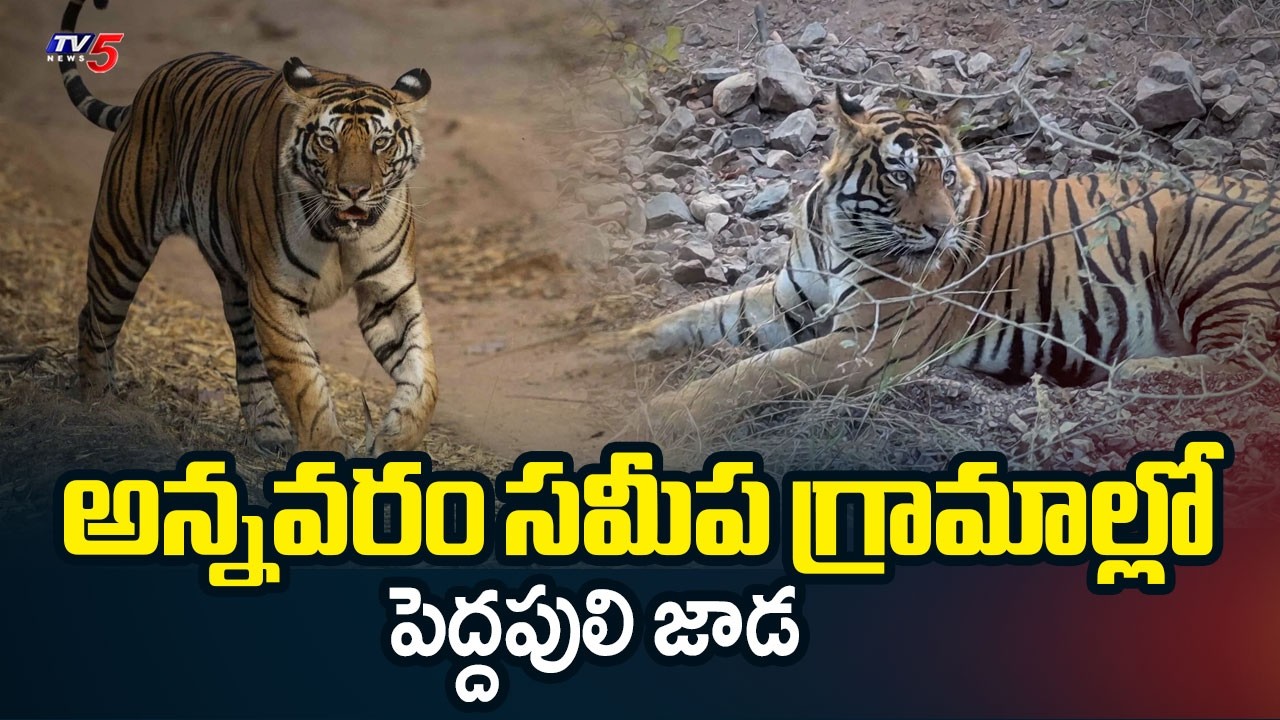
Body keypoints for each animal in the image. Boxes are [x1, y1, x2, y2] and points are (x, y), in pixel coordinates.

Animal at [59, 0, 438, 455]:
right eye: (328, 142)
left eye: (380, 142)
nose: (354, 191)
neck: (339, 238)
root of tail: (152, 82)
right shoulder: (277, 296)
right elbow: (305, 386)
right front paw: (327, 449)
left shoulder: (390, 294)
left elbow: (424, 379)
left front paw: (396, 439)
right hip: (122, 241)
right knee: (94, 317)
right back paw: (97, 403)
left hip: (235, 281)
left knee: (247, 355)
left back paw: (269, 431)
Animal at [610, 88, 1280, 437]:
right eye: (902, 176)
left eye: (948, 177)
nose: (939, 228)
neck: (834, 233)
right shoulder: (786, 301)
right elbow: (692, 317)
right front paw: (604, 351)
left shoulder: (865, 344)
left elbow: (753, 372)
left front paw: (658, 414)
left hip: (1207, 255)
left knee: (1254, 366)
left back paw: (1133, 373)